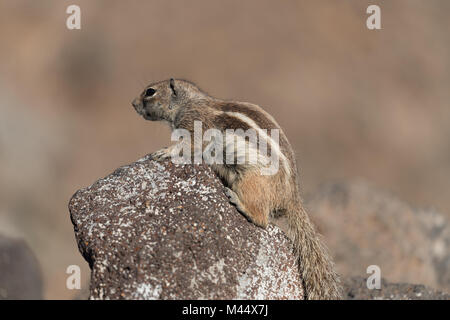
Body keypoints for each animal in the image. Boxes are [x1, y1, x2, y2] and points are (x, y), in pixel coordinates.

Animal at [132, 79, 342, 298]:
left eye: (150, 91)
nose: (133, 104)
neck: (189, 102)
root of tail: (291, 198)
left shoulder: (194, 124)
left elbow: (189, 145)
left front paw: (164, 151)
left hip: (250, 182)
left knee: (262, 219)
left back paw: (238, 202)